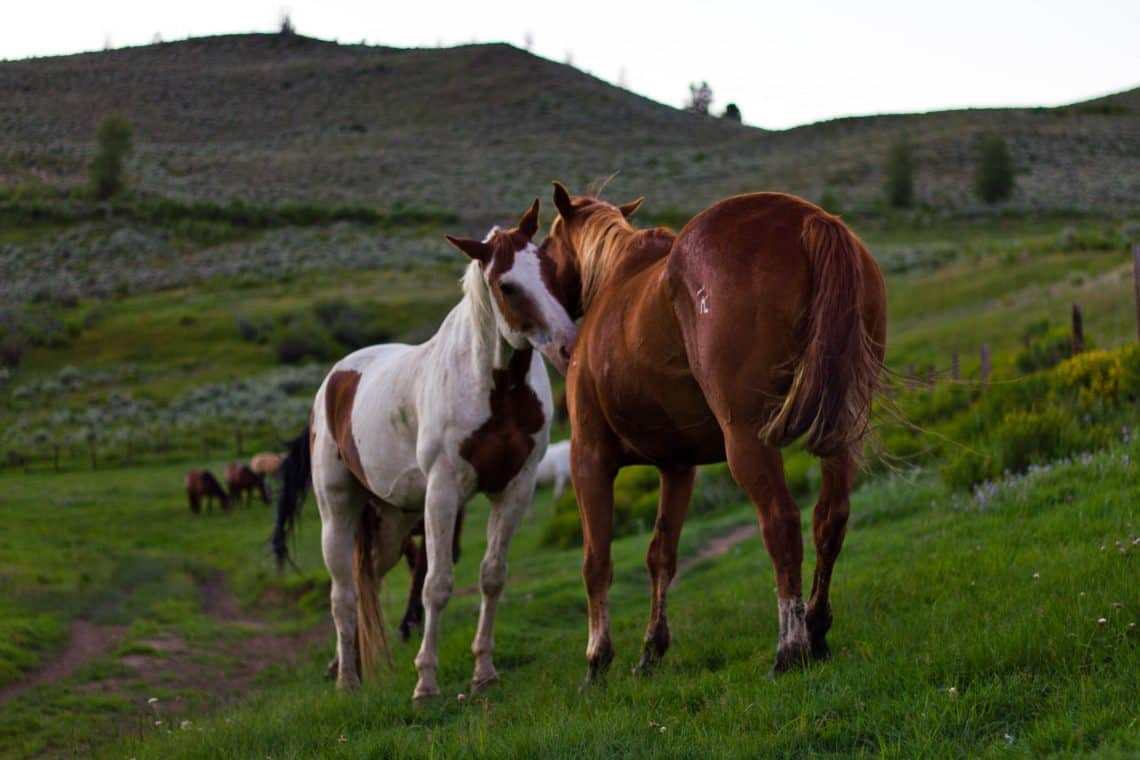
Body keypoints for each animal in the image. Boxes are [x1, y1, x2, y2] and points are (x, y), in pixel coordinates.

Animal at [270, 200, 574, 701]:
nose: (569, 345)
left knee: (367, 581)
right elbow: (437, 585)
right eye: (507, 285)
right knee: (343, 594)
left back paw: (345, 664)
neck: (496, 391)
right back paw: (347, 680)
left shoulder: (516, 487)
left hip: (393, 521)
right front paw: (426, 682)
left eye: (550, 267)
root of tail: (333, 382)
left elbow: (493, 576)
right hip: (338, 510)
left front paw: (484, 671)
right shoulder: (444, 491)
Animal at [544, 182, 889, 683]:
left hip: (746, 439)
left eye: (546, 242)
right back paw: (817, 630)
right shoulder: (677, 467)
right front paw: (650, 650)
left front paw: (597, 660)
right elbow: (661, 554)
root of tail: (808, 218)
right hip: (843, 430)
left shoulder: (588, 458)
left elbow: (597, 562)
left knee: (782, 522)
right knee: (831, 518)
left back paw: (790, 648)